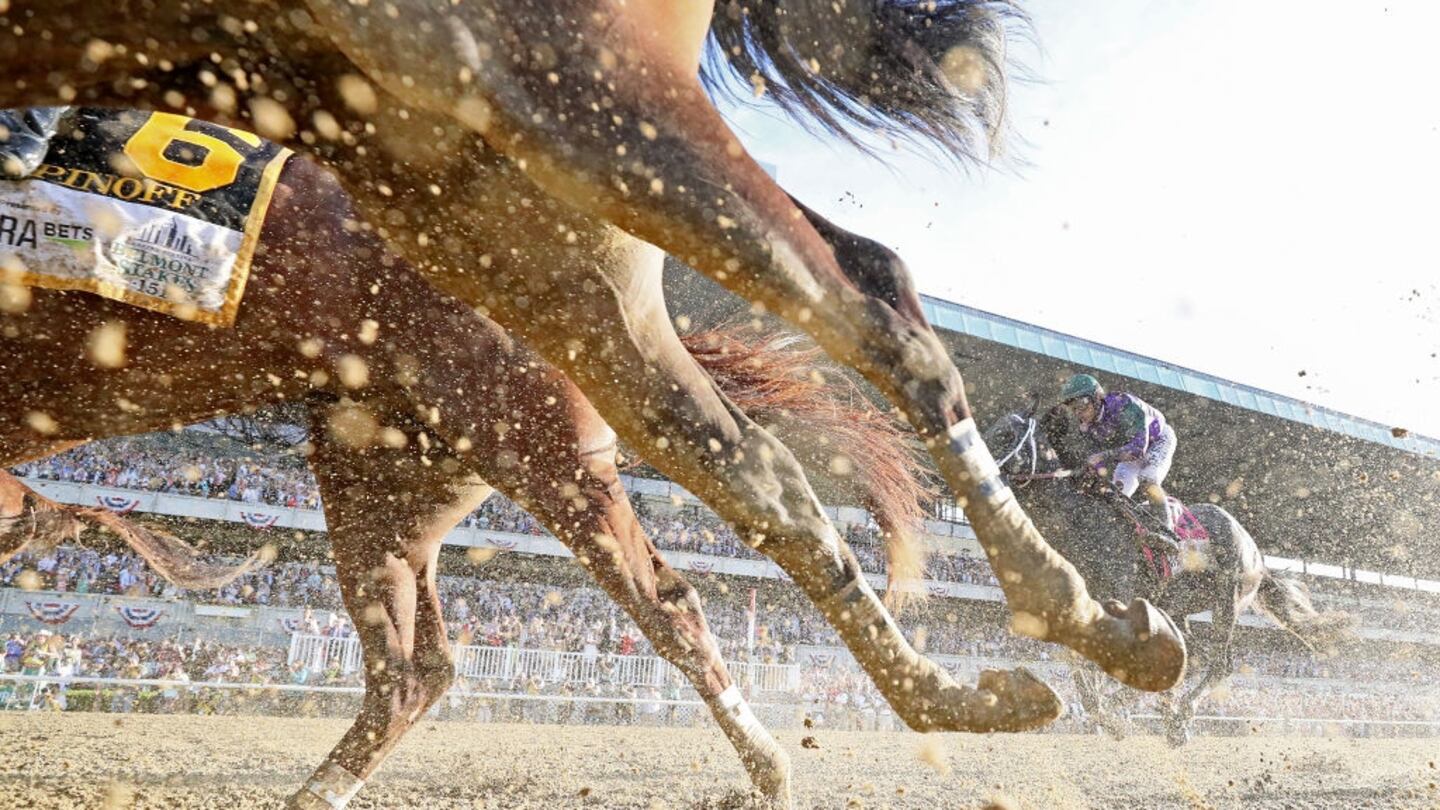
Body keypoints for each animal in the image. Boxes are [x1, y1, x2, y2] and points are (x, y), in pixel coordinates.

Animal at [3, 0, 1188, 698]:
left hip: (555, 105)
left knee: (863, 314)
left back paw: (1044, 625)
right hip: (495, 214)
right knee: (748, 444)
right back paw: (995, 663)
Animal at [982, 405, 1353, 745]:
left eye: (1006, 434)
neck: (1081, 525)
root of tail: (1256, 552)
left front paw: (1114, 715)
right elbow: (1084, 667)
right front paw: (1108, 715)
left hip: (1227, 599)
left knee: (1219, 662)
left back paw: (1174, 714)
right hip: (1178, 606)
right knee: (1193, 656)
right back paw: (1171, 717)